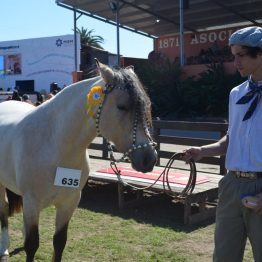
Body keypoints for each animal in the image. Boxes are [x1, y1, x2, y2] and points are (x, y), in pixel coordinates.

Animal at [0, 60, 157, 260]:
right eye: (122, 106)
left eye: (147, 106)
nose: (149, 159)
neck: (55, 144)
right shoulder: (32, 202)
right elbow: (32, 245)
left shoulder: (69, 203)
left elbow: (59, 242)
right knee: (4, 208)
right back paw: (4, 246)